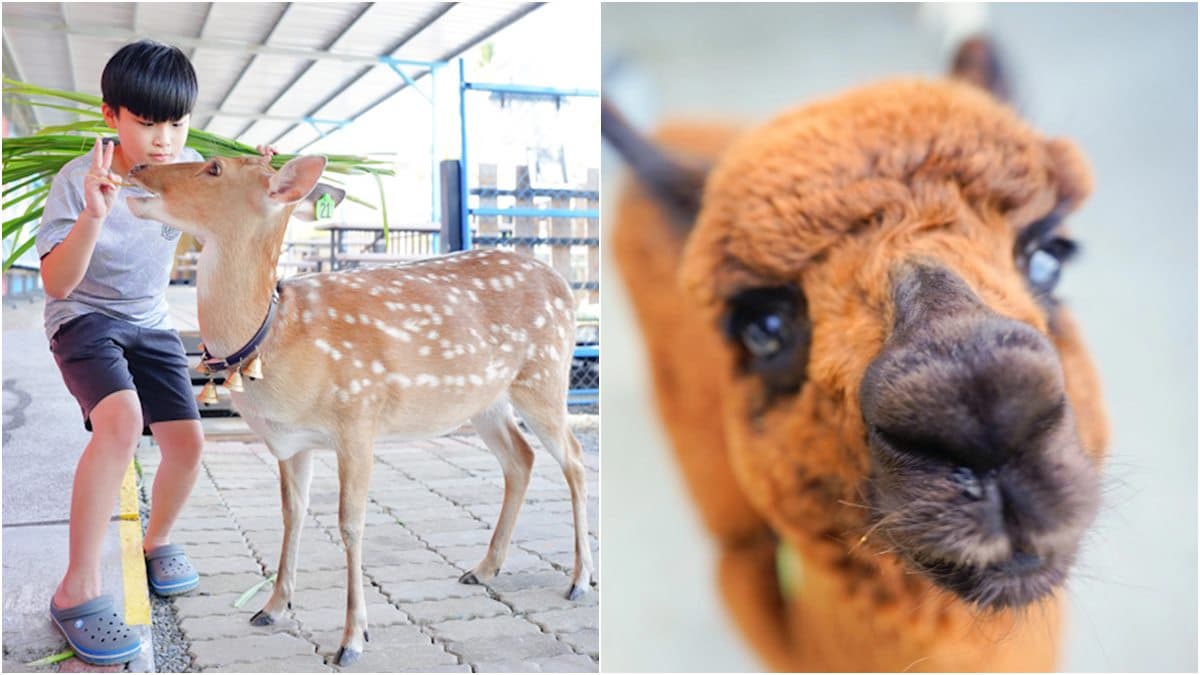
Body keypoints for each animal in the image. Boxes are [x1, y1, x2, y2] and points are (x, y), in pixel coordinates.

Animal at [124, 154, 595, 666]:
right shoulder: (290, 442)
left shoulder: (358, 418)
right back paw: (485, 567)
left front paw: (352, 639)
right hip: (485, 400)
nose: (140, 165)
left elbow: (350, 524)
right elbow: (292, 514)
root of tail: (565, 287)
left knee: (574, 458)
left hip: (544, 376)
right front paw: (272, 607)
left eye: (214, 167)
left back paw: (579, 580)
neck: (278, 337)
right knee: (521, 459)